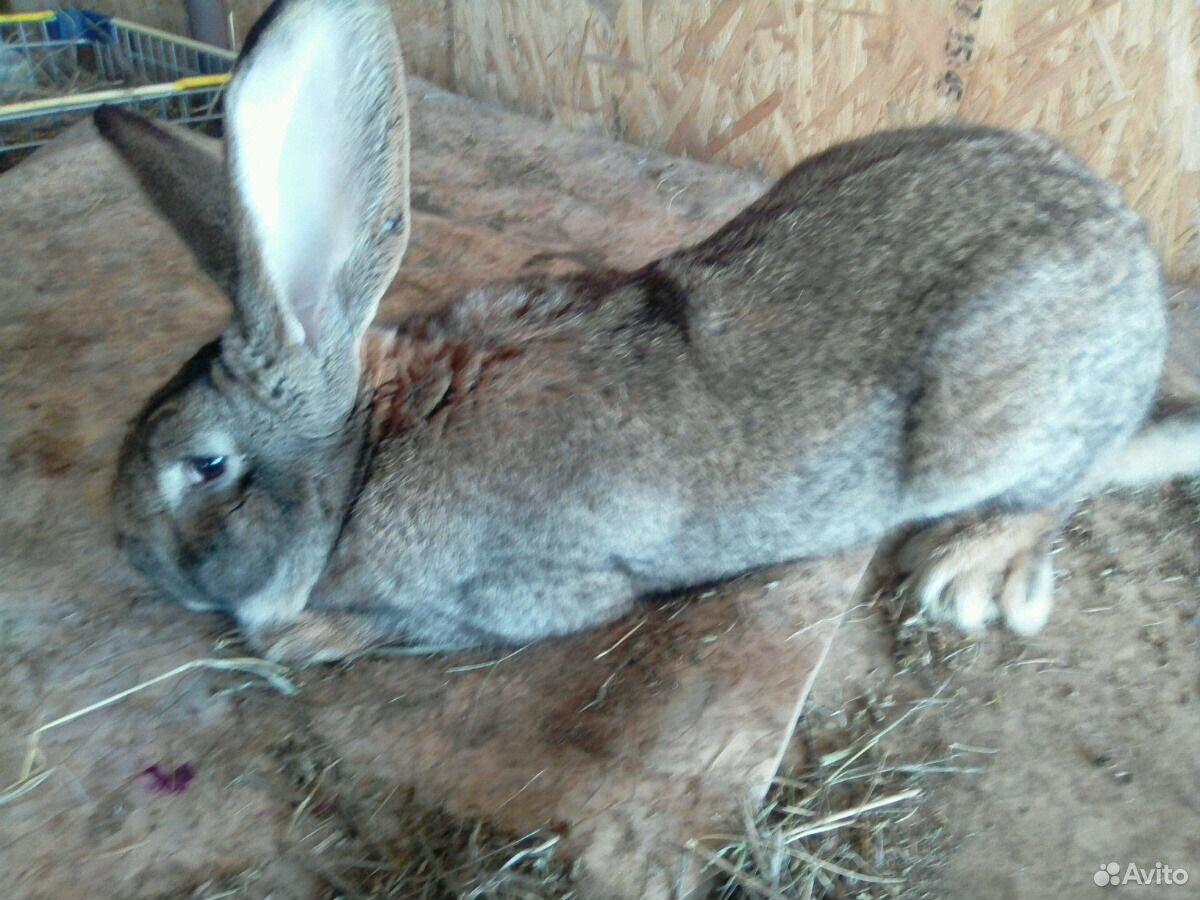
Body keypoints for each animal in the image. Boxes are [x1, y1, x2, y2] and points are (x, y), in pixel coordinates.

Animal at [100, 0, 1200, 667]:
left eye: (204, 465)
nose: (125, 550)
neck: (369, 455)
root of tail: (1139, 290)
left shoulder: (522, 591)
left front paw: (303, 636)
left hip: (990, 423)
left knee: (1063, 483)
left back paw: (970, 572)